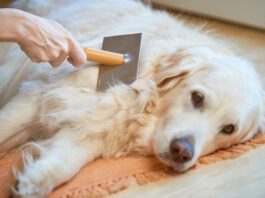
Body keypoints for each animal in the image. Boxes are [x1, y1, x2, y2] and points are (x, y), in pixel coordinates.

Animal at [0, 0, 262, 196]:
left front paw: (31, 182)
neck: (139, 101)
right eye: (197, 97)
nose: (182, 151)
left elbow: (65, 162)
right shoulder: (38, 95)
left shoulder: (91, 129)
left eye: (228, 129)